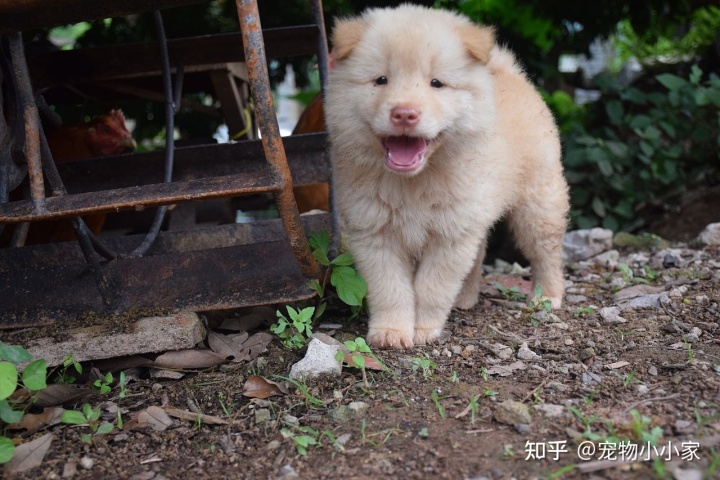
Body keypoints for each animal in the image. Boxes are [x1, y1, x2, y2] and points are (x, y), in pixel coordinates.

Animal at [324, 3, 568, 348]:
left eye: (436, 83)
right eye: (381, 80)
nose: (404, 114)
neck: (414, 181)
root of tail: (508, 71)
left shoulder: (451, 234)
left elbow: (431, 287)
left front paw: (424, 330)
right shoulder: (375, 232)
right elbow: (390, 288)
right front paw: (391, 332)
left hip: (537, 203)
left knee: (546, 253)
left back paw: (546, 296)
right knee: (480, 254)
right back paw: (465, 298)